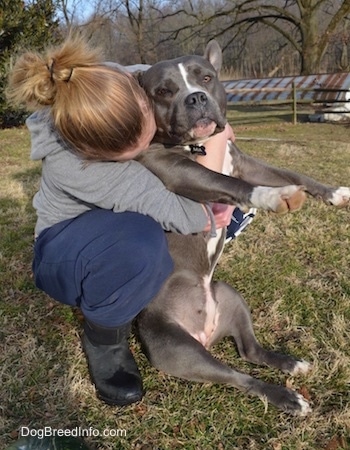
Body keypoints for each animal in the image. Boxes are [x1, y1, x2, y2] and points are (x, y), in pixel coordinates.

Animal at [133, 39, 348, 414]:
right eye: (163, 91)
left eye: (206, 77)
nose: (196, 98)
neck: (198, 146)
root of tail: (204, 333)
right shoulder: (174, 170)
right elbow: (227, 183)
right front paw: (273, 196)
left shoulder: (243, 161)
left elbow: (291, 173)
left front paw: (332, 193)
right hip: (180, 350)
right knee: (239, 376)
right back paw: (288, 397)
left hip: (230, 296)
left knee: (250, 351)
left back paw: (291, 363)